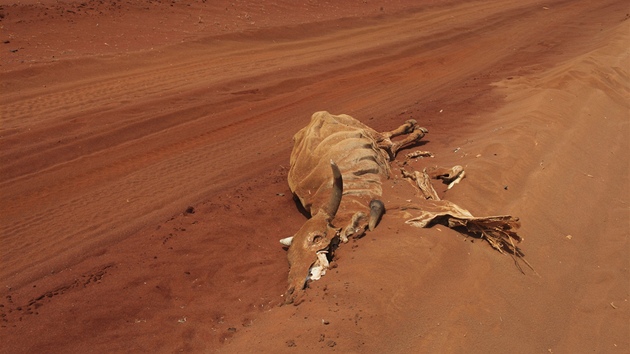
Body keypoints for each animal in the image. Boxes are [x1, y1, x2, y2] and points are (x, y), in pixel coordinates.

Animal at [282, 111, 524, 304]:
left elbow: (465, 213)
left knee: (384, 137)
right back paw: (413, 130)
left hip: (367, 130)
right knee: (388, 144)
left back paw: (414, 128)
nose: (291, 292)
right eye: (290, 259)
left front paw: (504, 231)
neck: (350, 199)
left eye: (316, 238)